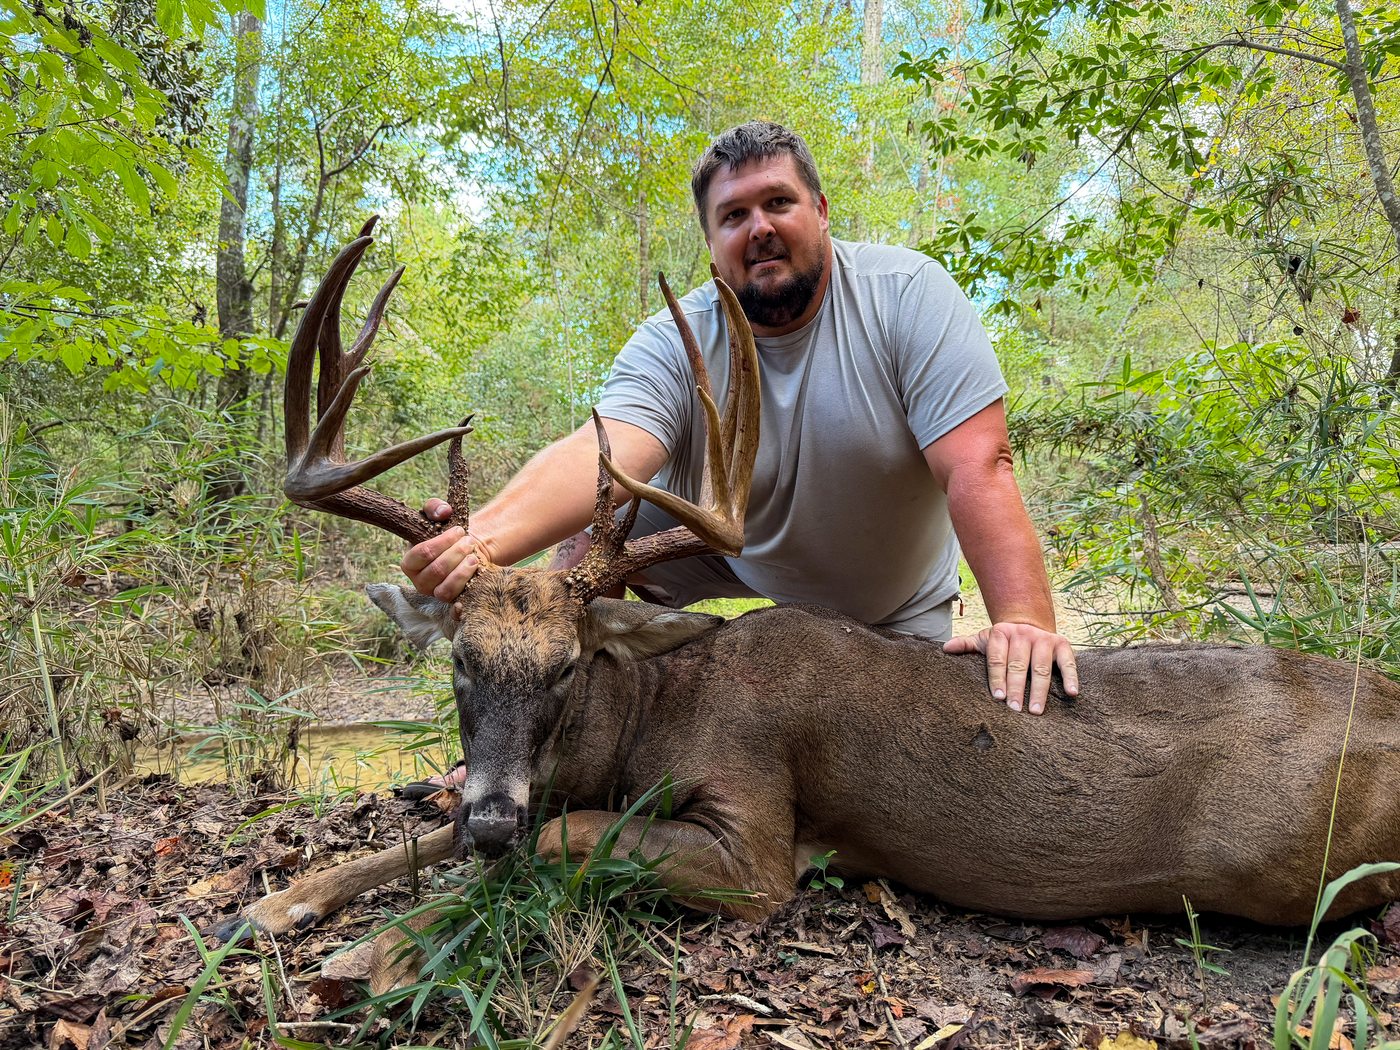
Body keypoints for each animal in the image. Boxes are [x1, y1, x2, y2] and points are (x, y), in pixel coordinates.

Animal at [230, 221, 1400, 990]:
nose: (488, 816)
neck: (652, 712)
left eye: (567, 664)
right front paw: (279, 901)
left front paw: (368, 951)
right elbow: (456, 832)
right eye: (459, 659)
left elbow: (567, 838)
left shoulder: (755, 845)